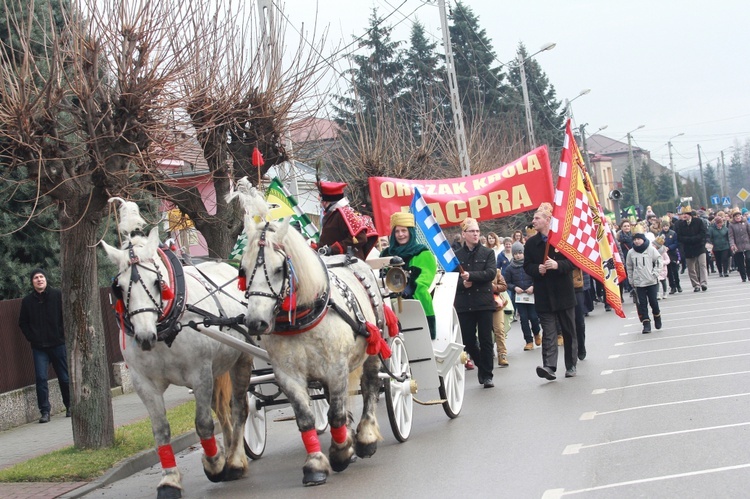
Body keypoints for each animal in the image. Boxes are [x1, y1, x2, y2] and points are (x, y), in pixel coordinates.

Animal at [101, 200, 254, 499]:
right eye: (119, 287)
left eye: (157, 282)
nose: (144, 337)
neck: (164, 332)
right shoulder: (143, 382)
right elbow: (161, 430)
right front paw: (170, 480)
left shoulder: (200, 373)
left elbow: (203, 424)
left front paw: (214, 463)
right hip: (221, 368)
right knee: (224, 410)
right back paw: (233, 454)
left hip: (241, 357)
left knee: (240, 408)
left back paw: (234, 461)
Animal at [228, 182, 396, 486]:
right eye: (243, 270)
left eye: (279, 269)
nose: (256, 323)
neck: (303, 318)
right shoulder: (288, 375)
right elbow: (306, 418)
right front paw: (316, 463)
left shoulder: (336, 368)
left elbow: (337, 413)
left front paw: (341, 453)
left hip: (373, 350)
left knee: (370, 387)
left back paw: (365, 438)